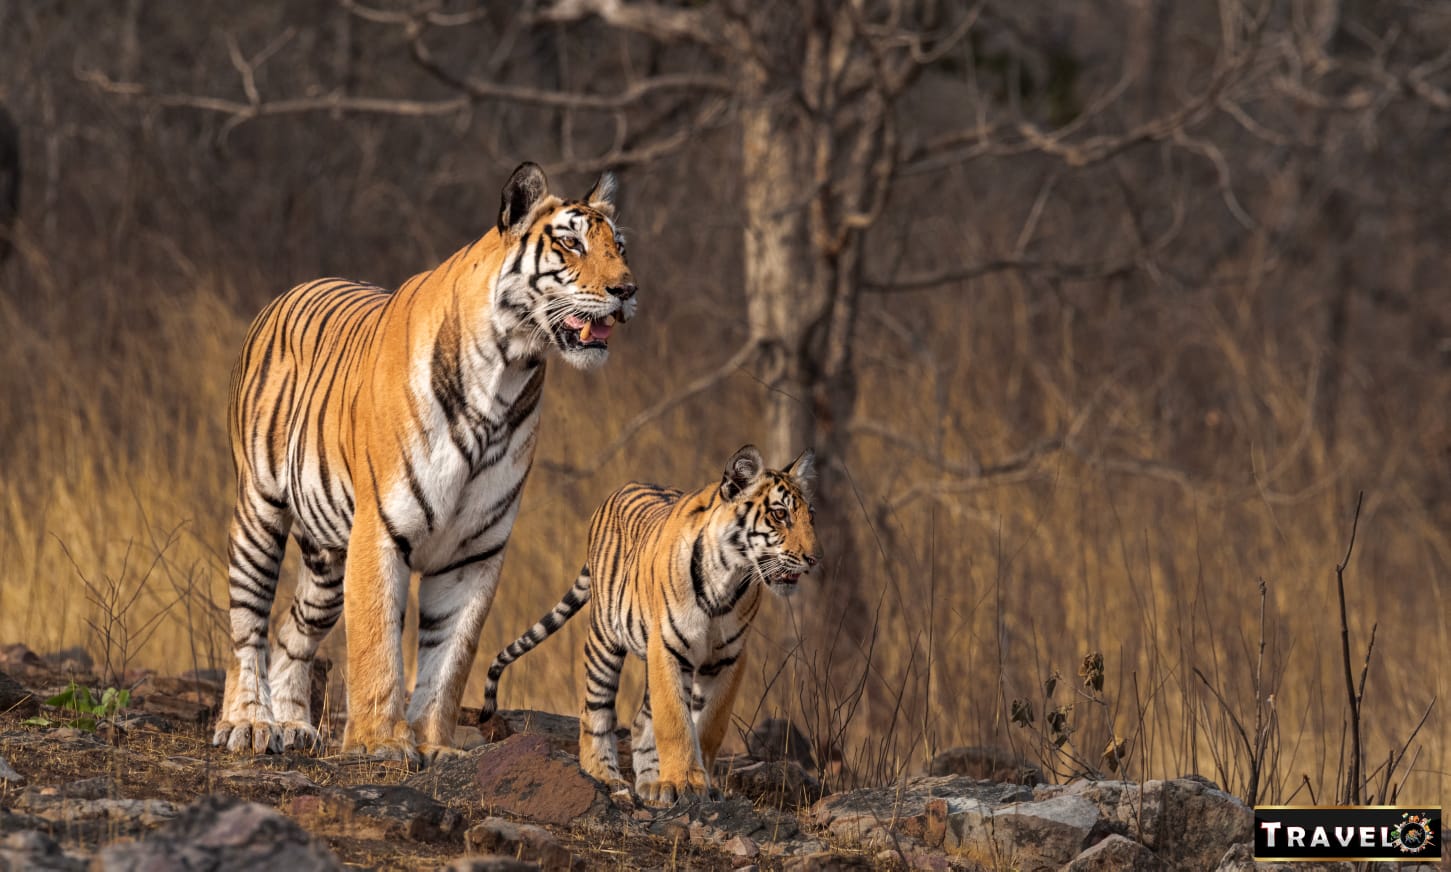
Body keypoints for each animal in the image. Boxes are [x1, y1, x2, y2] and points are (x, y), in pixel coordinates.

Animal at [212, 162, 636, 765]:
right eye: (570, 243)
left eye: (618, 246)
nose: (627, 290)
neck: (507, 373)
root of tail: (292, 289)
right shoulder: (380, 532)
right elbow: (378, 645)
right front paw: (381, 744)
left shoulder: (474, 552)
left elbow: (449, 657)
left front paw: (435, 745)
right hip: (260, 510)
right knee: (247, 625)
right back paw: (248, 723)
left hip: (326, 558)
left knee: (295, 631)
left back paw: (292, 725)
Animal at [480, 445, 822, 805]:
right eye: (780, 515)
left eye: (811, 516)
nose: (814, 559)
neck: (728, 578)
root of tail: (619, 490)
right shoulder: (669, 646)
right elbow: (673, 719)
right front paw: (684, 780)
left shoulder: (728, 657)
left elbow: (709, 723)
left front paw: (695, 780)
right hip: (604, 638)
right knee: (595, 709)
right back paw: (605, 776)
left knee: (641, 720)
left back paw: (651, 784)